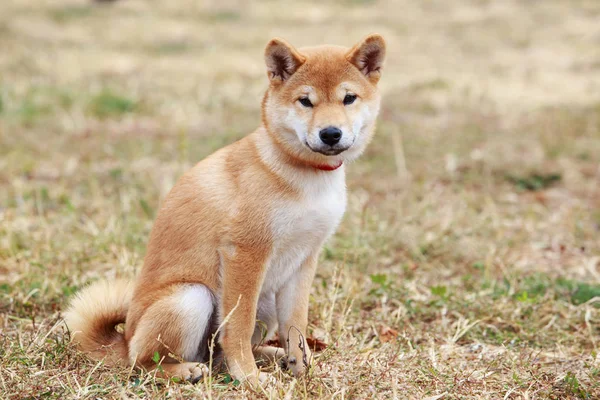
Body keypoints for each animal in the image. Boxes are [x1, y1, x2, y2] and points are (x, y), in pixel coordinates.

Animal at [63, 33, 386, 384]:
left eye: (349, 98)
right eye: (305, 101)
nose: (330, 134)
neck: (305, 175)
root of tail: (123, 341)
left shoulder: (304, 259)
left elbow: (296, 327)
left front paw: (302, 368)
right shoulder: (245, 253)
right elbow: (238, 328)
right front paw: (249, 377)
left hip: (265, 303)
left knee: (218, 357)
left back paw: (272, 355)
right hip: (192, 297)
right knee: (145, 363)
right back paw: (186, 370)